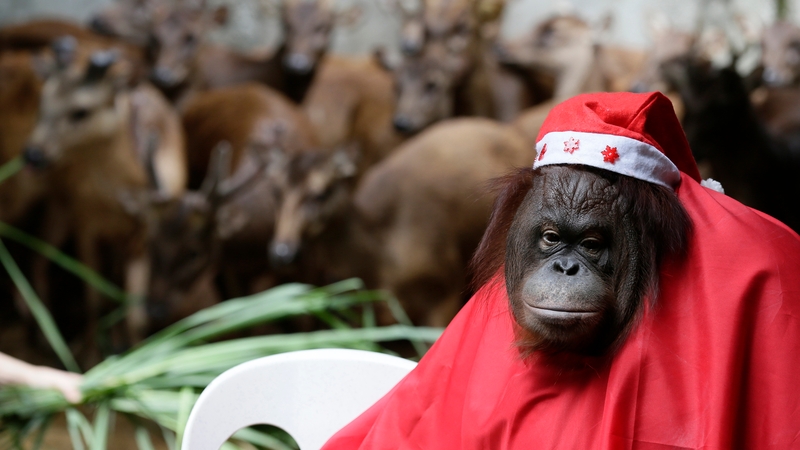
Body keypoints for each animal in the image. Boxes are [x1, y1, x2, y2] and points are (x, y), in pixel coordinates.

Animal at [21, 37, 186, 361]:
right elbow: (93, 298)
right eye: (42, 105)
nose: (32, 155)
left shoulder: (143, 236)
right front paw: (89, 356)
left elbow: (135, 309)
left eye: (81, 111)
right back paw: (45, 337)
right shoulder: (86, 225)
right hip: (59, 207)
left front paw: (136, 352)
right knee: (38, 259)